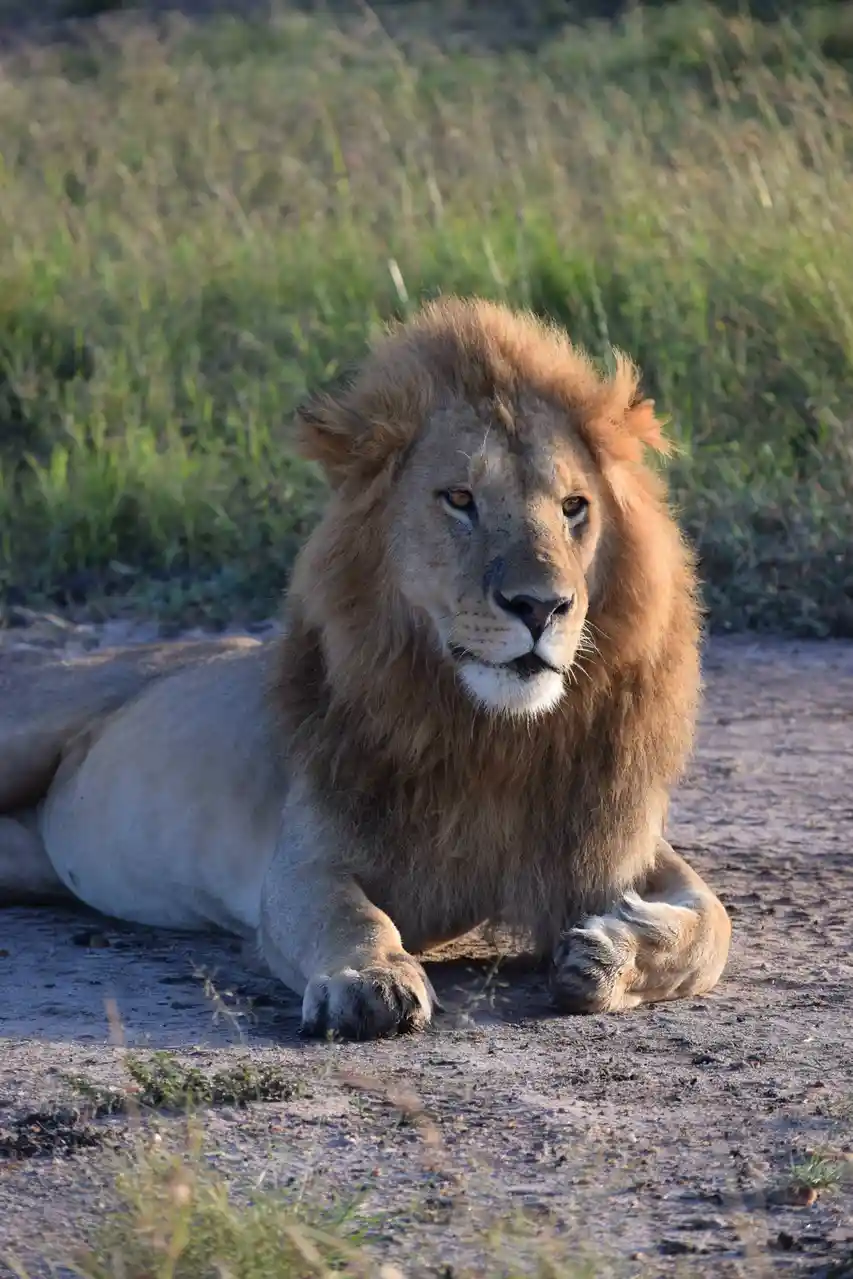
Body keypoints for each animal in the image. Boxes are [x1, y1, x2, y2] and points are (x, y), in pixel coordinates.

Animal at [0, 297, 731, 1039]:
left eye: (573, 507)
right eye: (460, 499)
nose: (541, 605)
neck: (492, 737)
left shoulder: (613, 840)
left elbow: (711, 925)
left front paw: (606, 954)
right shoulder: (305, 855)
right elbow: (347, 913)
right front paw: (369, 980)